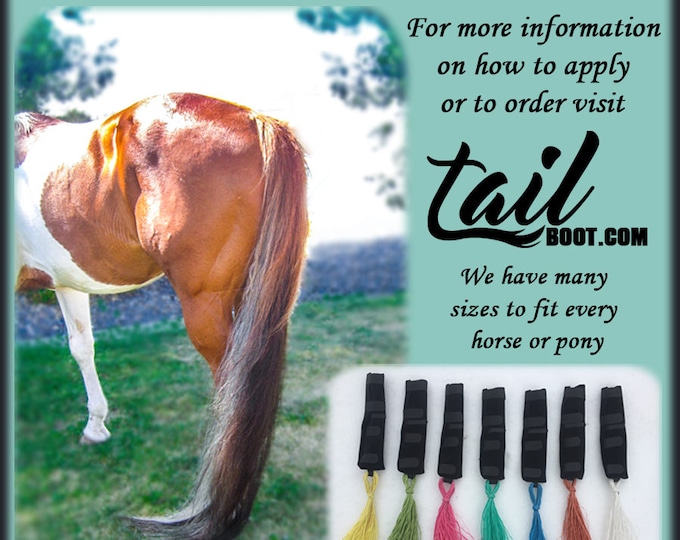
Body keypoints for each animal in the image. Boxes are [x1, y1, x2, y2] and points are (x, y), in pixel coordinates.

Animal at [14, 92, 309, 539]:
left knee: (232, 392)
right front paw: (96, 426)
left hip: (206, 308)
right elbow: (82, 348)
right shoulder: (67, 282)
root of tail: (258, 120)